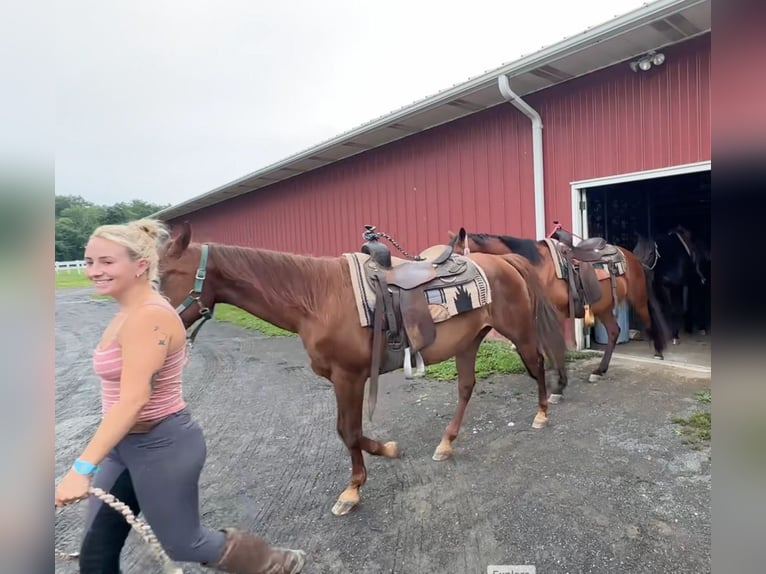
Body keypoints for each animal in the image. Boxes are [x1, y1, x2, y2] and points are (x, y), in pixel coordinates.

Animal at [156, 224, 568, 516]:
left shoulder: (349, 377)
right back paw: (446, 443)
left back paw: (542, 413)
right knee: (466, 387)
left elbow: (349, 432)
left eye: (163, 275)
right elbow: (349, 432)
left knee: (537, 365)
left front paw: (355, 487)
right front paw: (386, 451)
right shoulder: (342, 379)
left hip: (518, 332)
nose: (154, 326)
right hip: (468, 343)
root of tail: (504, 261)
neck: (317, 298)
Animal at [448, 225, 668, 388]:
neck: (537, 266)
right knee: (614, 332)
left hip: (637, 298)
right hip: (603, 307)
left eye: (455, 262)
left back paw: (658, 352)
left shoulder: (555, 314)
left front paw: (559, 384)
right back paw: (599, 371)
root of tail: (631, 256)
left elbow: (555, 345)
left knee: (647, 319)